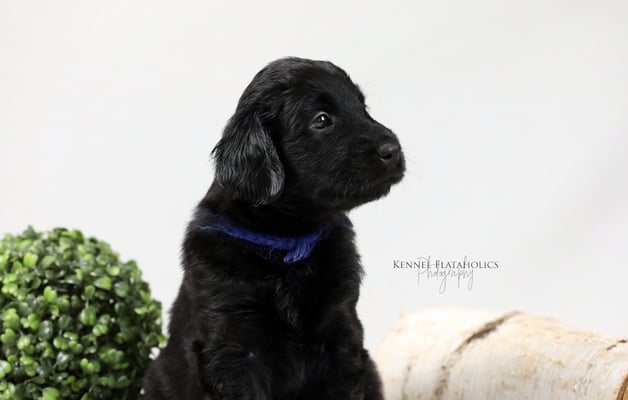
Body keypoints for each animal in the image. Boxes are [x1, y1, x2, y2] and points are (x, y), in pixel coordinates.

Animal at [142, 57, 405, 400]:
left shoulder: (341, 334)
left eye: (363, 107)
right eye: (322, 120)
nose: (393, 149)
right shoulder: (235, 345)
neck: (287, 245)